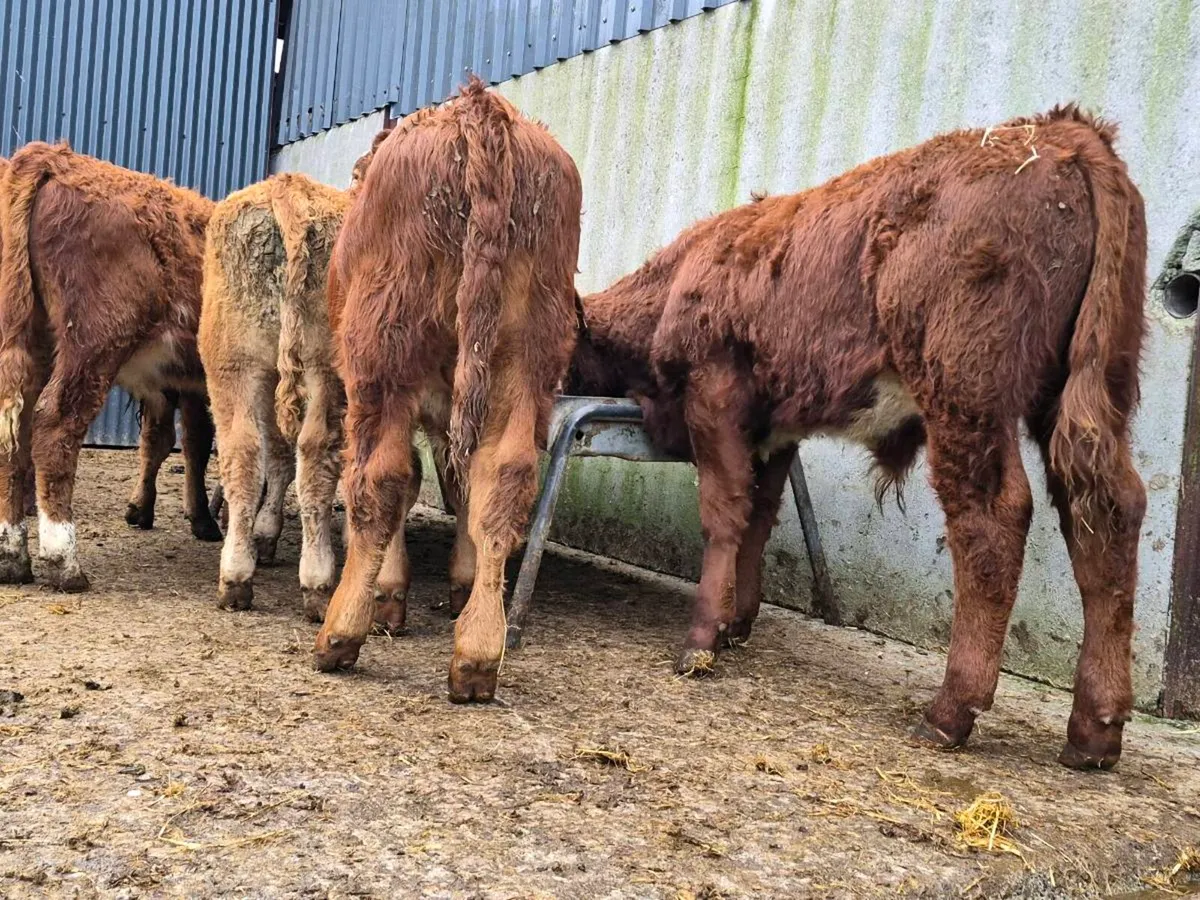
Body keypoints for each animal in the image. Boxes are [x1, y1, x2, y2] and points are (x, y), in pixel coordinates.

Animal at [0, 142, 222, 591]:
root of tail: (54, 157)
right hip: (93, 343)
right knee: (55, 425)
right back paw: (63, 561)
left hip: (31, 341)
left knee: (16, 435)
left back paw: (12, 557)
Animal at [313, 77, 583, 704]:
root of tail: (479, 108)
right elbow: (457, 488)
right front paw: (458, 581)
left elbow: (410, 480)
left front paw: (389, 594)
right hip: (522, 361)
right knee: (503, 478)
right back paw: (479, 653)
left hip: (382, 356)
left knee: (380, 478)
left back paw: (341, 633)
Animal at [568, 106, 1146, 770]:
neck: (682, 277)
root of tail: (1060, 131)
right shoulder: (774, 429)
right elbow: (759, 518)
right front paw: (737, 623)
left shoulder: (715, 399)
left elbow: (724, 515)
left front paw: (700, 639)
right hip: (1091, 393)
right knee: (1106, 514)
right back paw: (1094, 730)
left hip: (966, 395)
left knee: (994, 521)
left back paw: (951, 710)